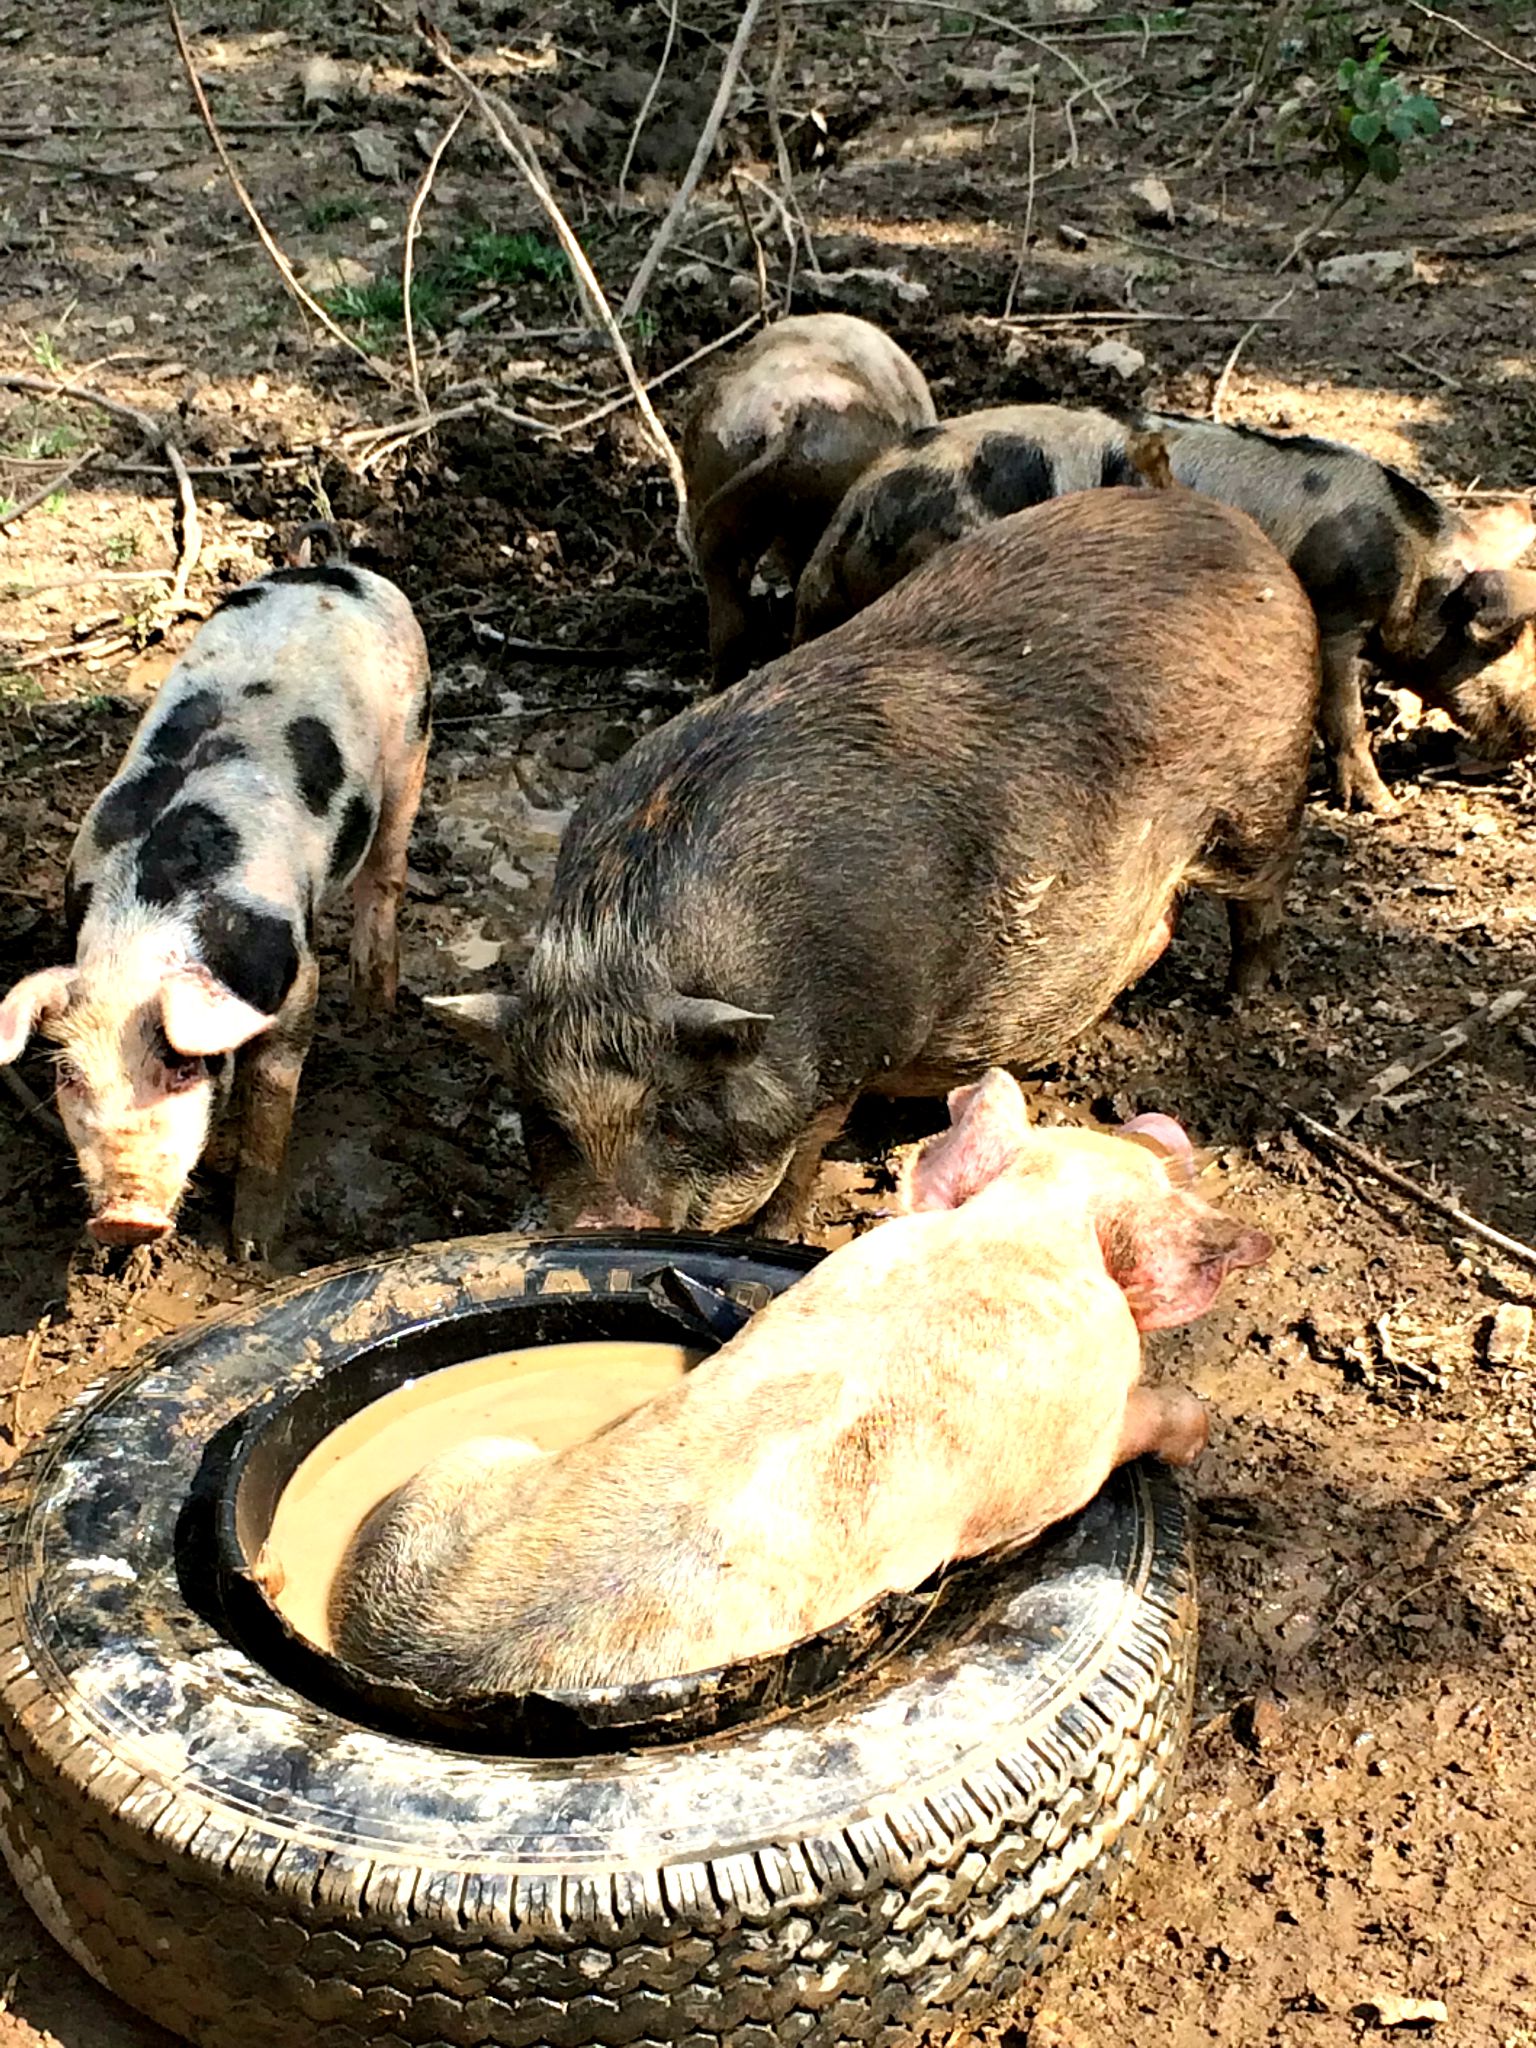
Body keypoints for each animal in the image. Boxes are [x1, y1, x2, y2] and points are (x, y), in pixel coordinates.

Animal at [0, 556, 431, 1257]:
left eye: (180, 1069)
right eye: (69, 1077)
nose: (122, 1218)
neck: (142, 926)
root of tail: (336, 570)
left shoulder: (297, 980)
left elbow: (272, 1097)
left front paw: (252, 1248)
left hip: (412, 740)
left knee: (386, 873)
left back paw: (375, 1009)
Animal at [330, 1069, 1269, 1696]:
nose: (1159, 1126)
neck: (1024, 1232)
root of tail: (396, 1654)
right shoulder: (1066, 1455)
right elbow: (1127, 1435)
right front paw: (1195, 1425)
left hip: (456, 1472)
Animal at [430, 487, 1318, 1236]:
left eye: (675, 1112)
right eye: (546, 1119)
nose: (598, 1226)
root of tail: (1246, 536)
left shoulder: (854, 1048)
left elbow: (803, 1160)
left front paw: (778, 1233)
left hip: (1260, 800)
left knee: (1263, 897)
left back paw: (1241, 999)